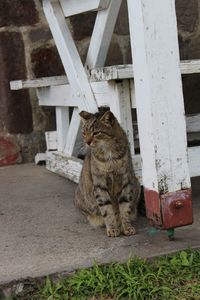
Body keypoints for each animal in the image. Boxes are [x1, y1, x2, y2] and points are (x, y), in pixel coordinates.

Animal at [74, 109, 141, 237]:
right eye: (84, 133)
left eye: (96, 133)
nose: (87, 142)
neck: (109, 154)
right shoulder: (100, 185)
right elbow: (107, 210)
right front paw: (112, 228)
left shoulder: (125, 182)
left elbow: (124, 208)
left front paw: (126, 227)